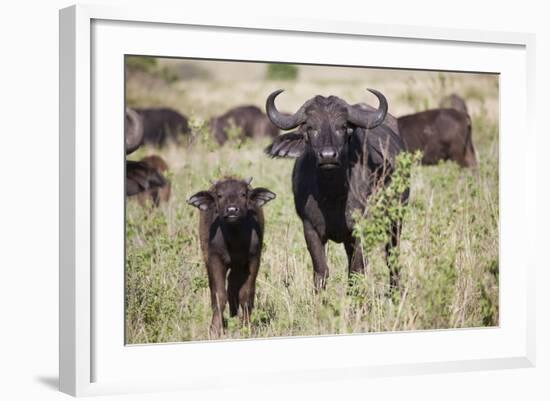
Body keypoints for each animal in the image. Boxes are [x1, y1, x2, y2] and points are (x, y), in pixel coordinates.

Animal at [189, 177, 276, 336]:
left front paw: (246, 326)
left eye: (243, 194)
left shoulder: (253, 260)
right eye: (219, 195)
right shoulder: (215, 259)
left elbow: (246, 294)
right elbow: (219, 295)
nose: (231, 210)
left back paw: (234, 314)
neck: (234, 240)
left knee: (233, 285)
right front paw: (215, 328)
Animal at [266, 89, 412, 292]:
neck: (332, 195)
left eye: (342, 127)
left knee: (392, 257)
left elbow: (358, 270)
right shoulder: (310, 228)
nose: (328, 156)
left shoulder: (362, 228)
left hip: (395, 219)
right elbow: (321, 272)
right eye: (310, 127)